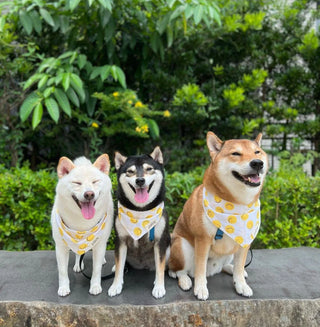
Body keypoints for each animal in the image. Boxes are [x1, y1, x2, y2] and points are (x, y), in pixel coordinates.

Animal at [51, 155, 114, 296]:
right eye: (77, 183)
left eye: (95, 181)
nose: (89, 194)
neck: (82, 222)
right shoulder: (60, 246)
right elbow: (62, 271)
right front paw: (63, 287)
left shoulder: (100, 244)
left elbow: (96, 269)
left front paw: (95, 286)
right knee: (78, 252)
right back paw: (78, 265)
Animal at [108, 148, 170, 300]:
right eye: (130, 171)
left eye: (149, 169)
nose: (140, 180)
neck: (140, 212)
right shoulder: (121, 240)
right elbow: (119, 266)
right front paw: (115, 286)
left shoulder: (160, 241)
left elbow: (160, 267)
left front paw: (159, 287)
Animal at [169, 132, 268, 302]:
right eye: (236, 154)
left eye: (257, 152)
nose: (257, 163)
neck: (237, 204)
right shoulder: (203, 239)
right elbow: (200, 270)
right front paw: (200, 288)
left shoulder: (245, 241)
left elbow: (240, 267)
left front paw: (241, 285)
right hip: (182, 246)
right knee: (177, 270)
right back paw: (185, 280)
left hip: (230, 251)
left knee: (227, 266)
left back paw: (230, 268)